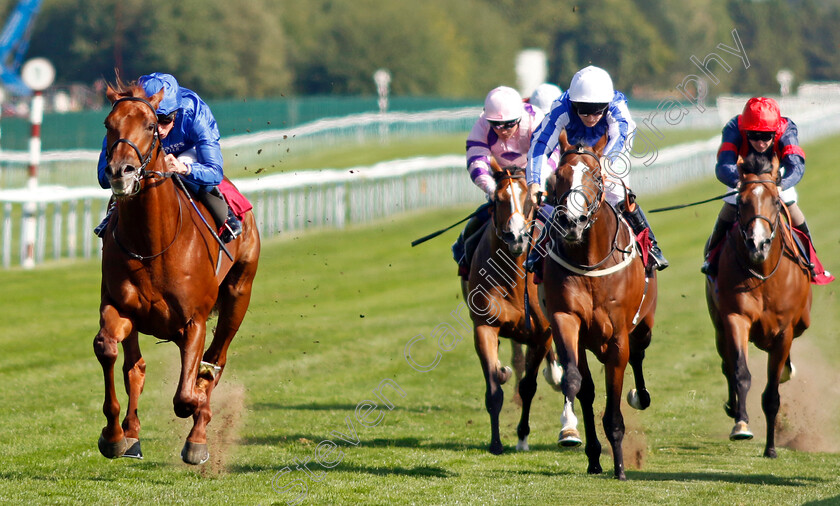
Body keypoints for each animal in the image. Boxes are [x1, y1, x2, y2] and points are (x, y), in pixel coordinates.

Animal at [93, 81, 260, 464]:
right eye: (109, 124)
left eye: (151, 125)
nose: (119, 171)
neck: (153, 242)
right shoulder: (118, 307)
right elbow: (108, 349)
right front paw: (114, 435)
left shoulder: (194, 320)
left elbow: (187, 395)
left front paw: (198, 423)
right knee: (135, 366)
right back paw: (131, 433)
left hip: (238, 295)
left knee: (214, 361)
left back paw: (198, 434)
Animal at [462, 165, 560, 454]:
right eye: (498, 199)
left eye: (530, 199)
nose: (515, 237)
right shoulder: (484, 327)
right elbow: (494, 388)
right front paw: (496, 443)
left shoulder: (542, 334)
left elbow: (528, 386)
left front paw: (522, 436)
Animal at [540, 129, 656, 478]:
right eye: (558, 175)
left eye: (595, 174)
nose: (571, 222)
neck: (591, 263)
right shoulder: (566, 318)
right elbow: (576, 382)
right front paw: (569, 426)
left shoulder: (617, 337)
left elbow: (614, 406)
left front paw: (619, 466)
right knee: (588, 389)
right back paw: (592, 455)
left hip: (643, 328)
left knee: (639, 356)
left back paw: (640, 396)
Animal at [704, 151, 812, 458]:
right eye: (741, 202)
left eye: (775, 201)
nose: (758, 244)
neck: (763, 274)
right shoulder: (735, 318)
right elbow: (740, 373)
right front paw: (741, 425)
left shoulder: (784, 331)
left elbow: (772, 394)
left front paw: (771, 448)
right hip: (719, 327)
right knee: (727, 363)